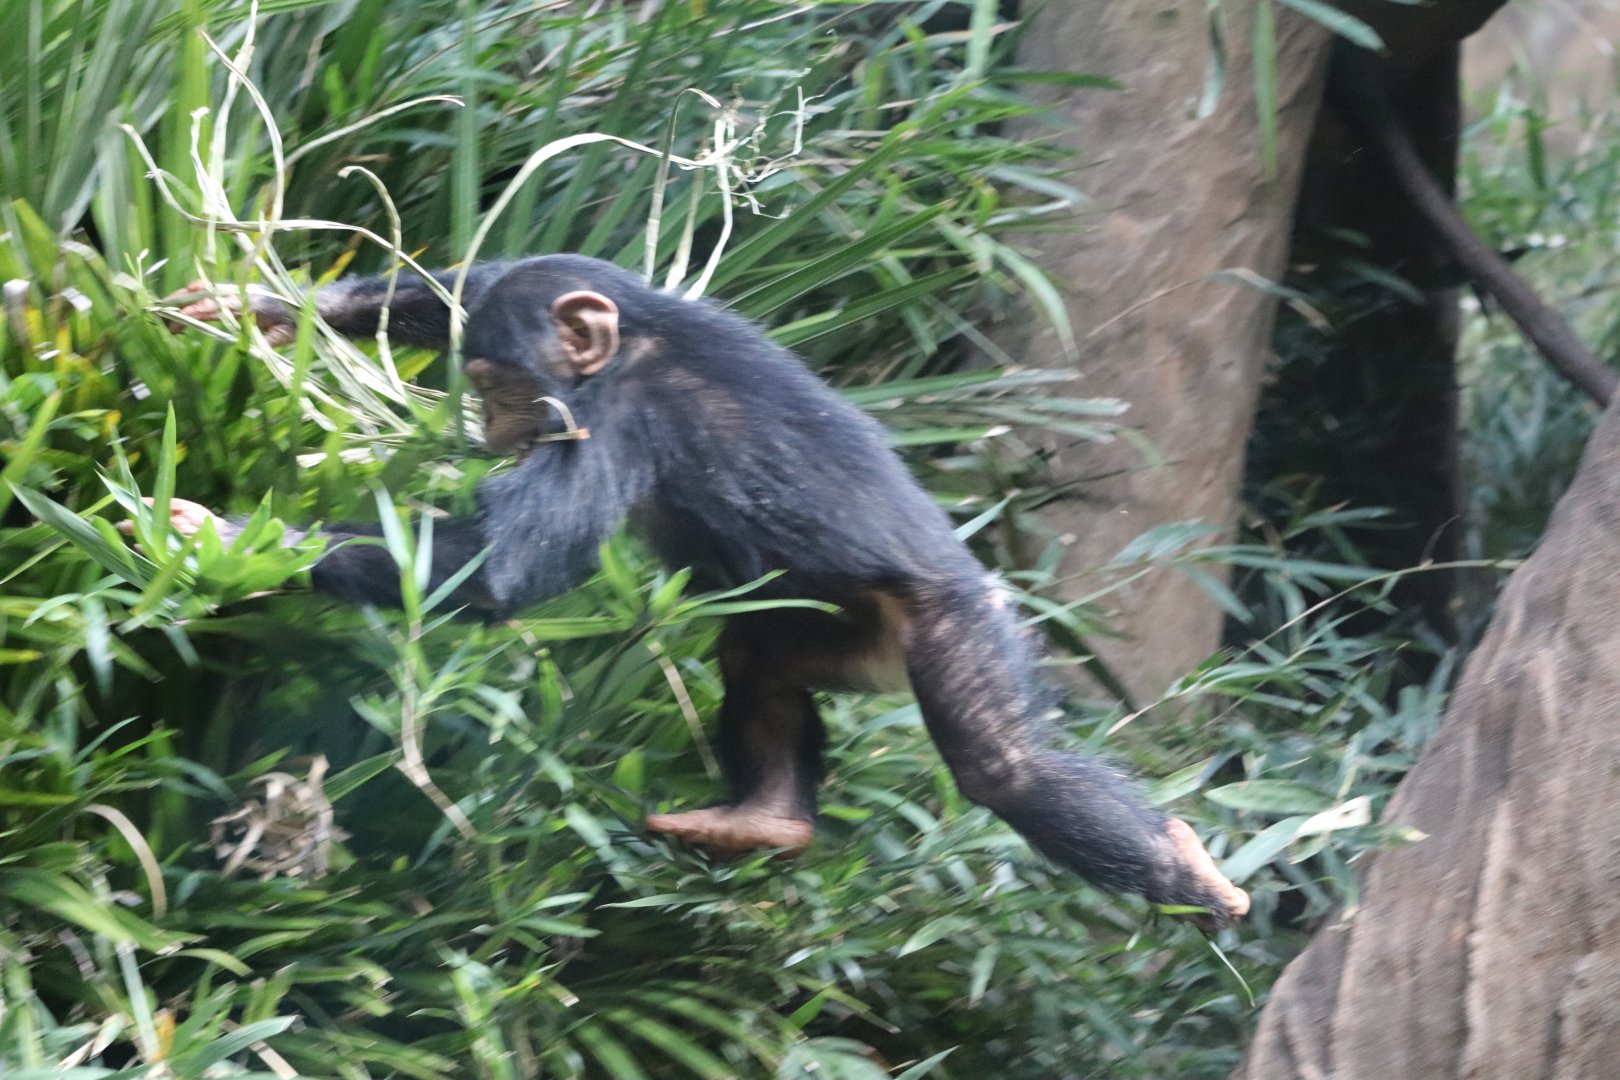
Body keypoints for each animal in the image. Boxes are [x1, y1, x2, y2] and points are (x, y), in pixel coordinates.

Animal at [156, 254, 1250, 926]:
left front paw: (227, 535)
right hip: (825, 627)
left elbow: (496, 567)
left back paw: (1181, 868)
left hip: (957, 624)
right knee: (755, 663)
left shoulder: (611, 420)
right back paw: (763, 818)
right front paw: (259, 306)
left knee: (1002, 767)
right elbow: (472, 277)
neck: (630, 344)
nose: (492, 425)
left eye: (500, 387)